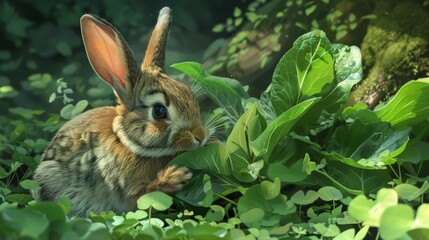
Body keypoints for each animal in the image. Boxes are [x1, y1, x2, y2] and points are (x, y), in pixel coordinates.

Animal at [32, 7, 208, 216]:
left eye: (189, 94)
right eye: (159, 111)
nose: (201, 136)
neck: (128, 143)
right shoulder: (127, 189)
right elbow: (142, 196)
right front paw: (175, 176)